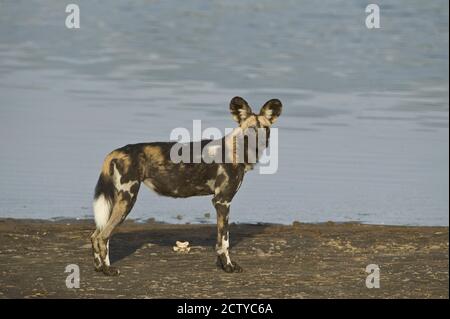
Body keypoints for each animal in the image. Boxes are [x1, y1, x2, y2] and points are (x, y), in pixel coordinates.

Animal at [90, 96, 282, 276]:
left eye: (265, 129)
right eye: (250, 129)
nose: (260, 142)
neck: (237, 150)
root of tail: (117, 151)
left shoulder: (220, 203)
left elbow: (220, 240)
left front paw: (222, 265)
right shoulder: (222, 201)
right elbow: (224, 241)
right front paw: (228, 267)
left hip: (117, 200)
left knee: (95, 235)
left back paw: (99, 267)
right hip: (128, 199)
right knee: (103, 236)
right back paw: (108, 270)